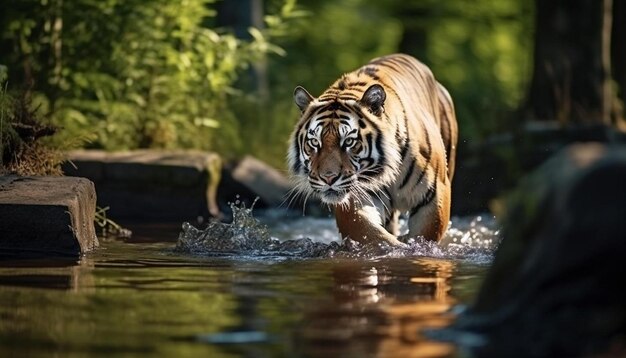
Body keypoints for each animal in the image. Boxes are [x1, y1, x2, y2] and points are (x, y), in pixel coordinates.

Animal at [286, 53, 454, 246]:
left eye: (349, 141)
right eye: (314, 142)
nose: (328, 178)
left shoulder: (434, 195)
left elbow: (424, 235)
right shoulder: (354, 199)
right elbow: (374, 235)